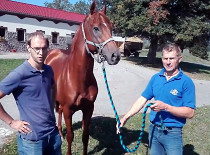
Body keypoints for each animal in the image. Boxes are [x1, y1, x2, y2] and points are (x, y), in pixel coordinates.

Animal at [45, 1, 120, 155]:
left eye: (111, 28)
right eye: (96, 28)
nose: (115, 56)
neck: (77, 78)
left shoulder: (89, 108)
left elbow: (85, 136)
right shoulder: (68, 110)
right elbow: (70, 136)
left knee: (58, 112)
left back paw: (59, 133)